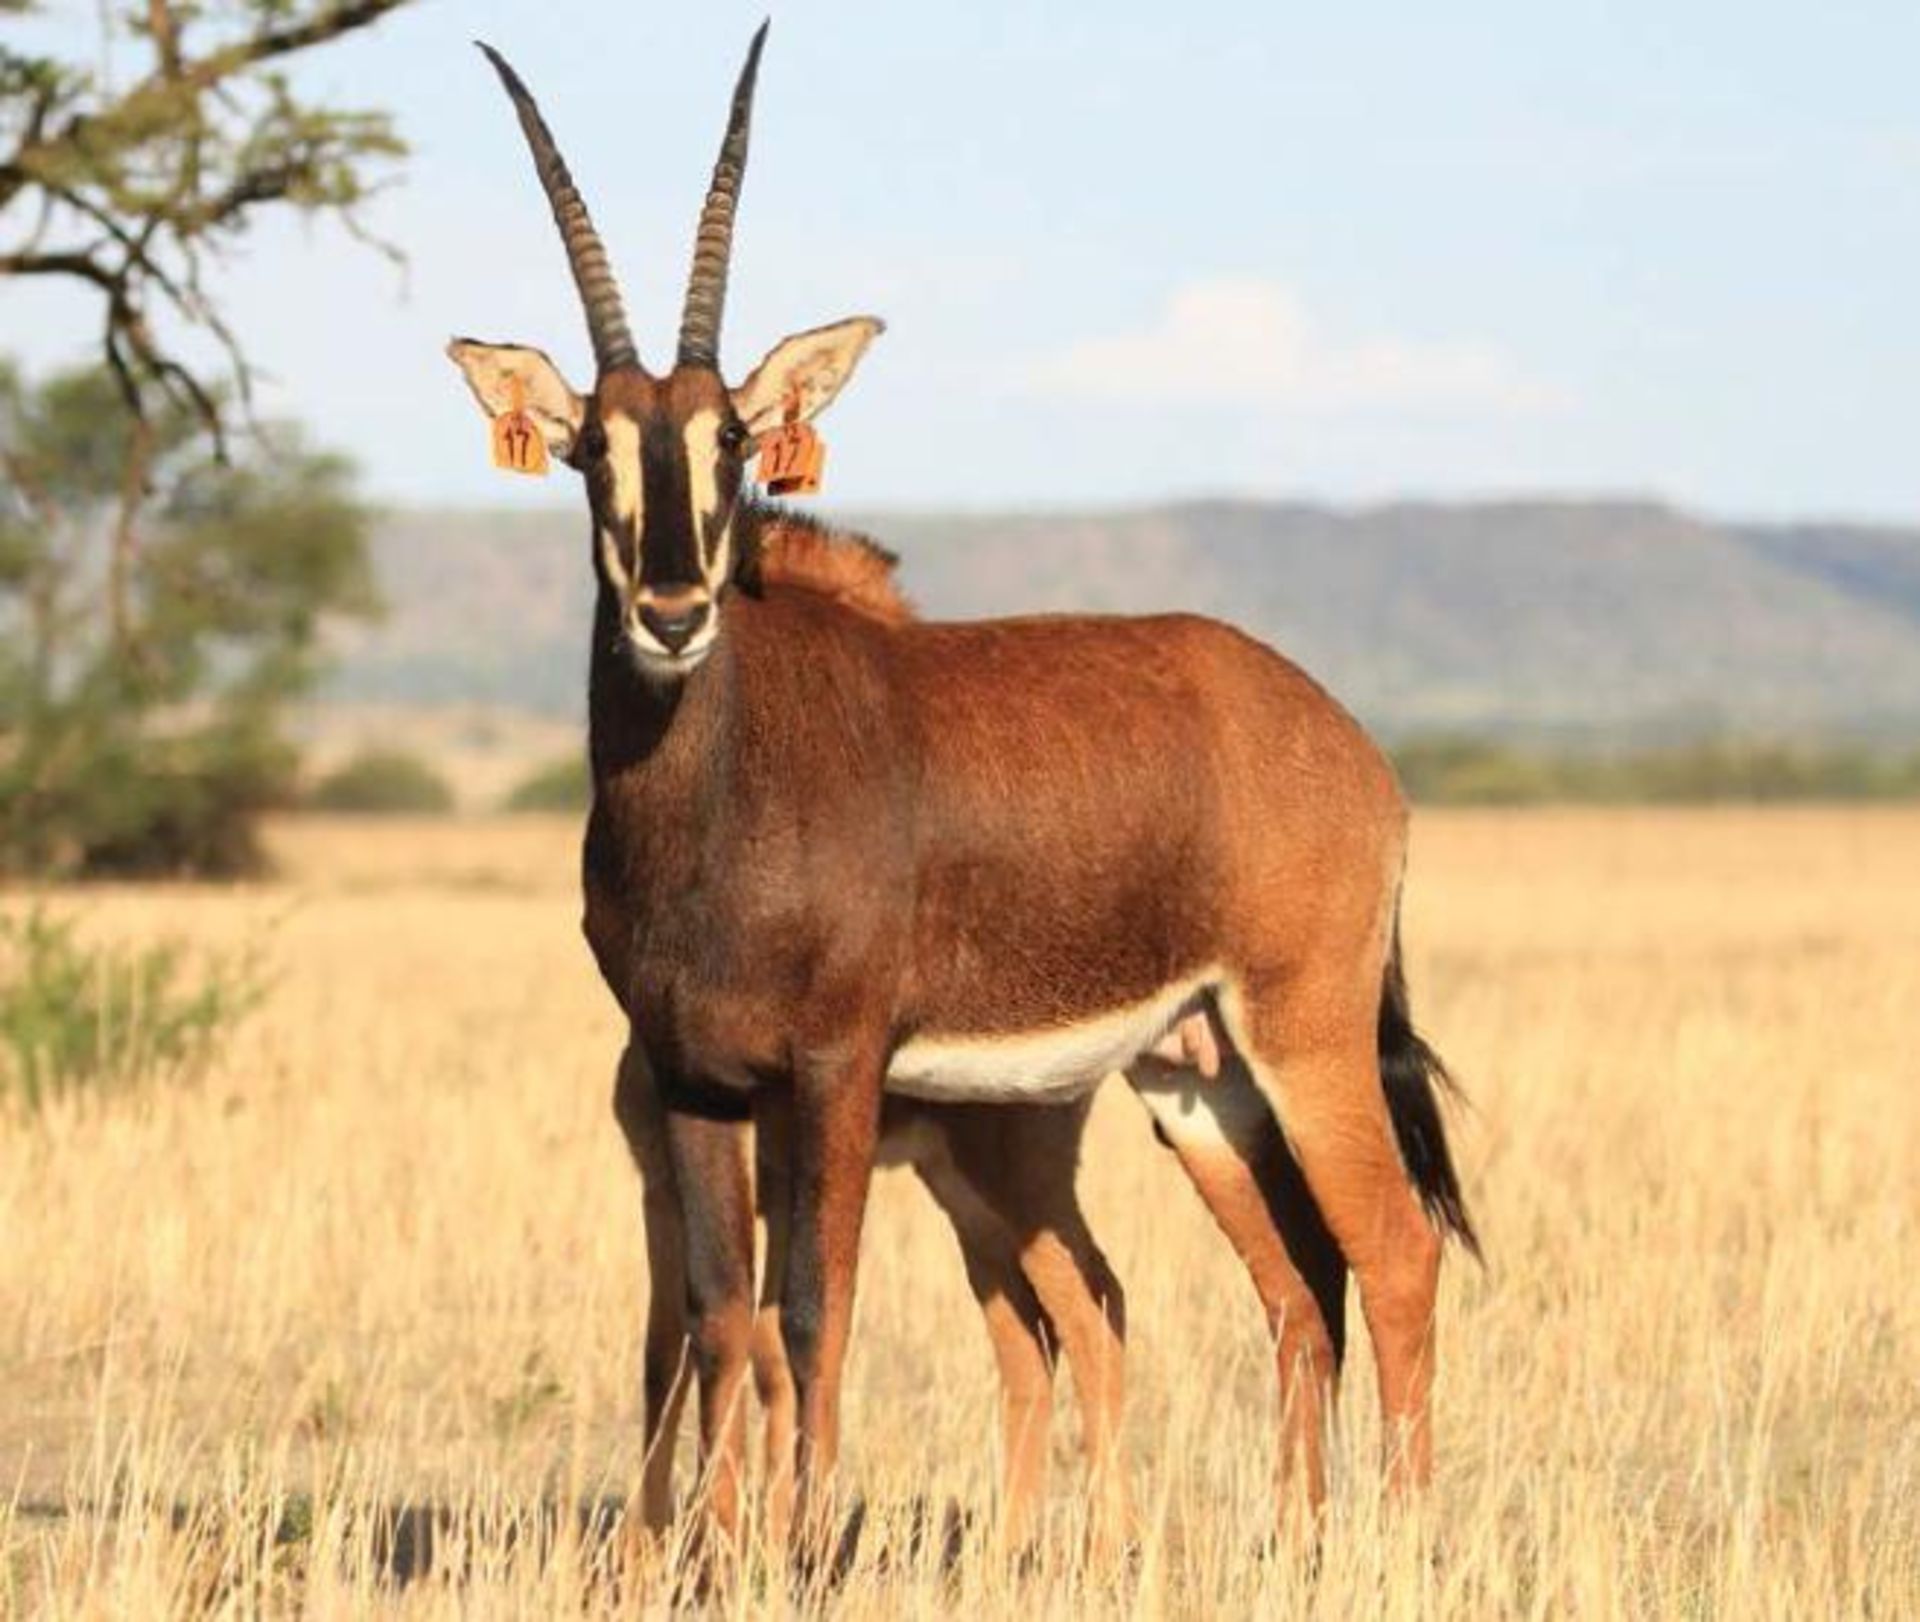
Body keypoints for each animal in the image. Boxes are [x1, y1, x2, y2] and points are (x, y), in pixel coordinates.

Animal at [445, 25, 1466, 1558]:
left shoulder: (837, 1067)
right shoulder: (693, 1078)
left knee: (1391, 1251)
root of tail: (1343, 740)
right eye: (591, 450)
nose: (674, 611)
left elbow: (815, 1312)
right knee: (1298, 1289)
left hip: (1306, 1033)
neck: (720, 798)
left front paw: (804, 1551)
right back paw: (1296, 1539)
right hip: (1200, 1082)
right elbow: (719, 1315)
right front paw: (713, 1558)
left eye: (733, 437)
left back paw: (1396, 1540)